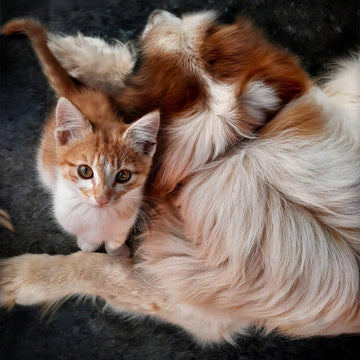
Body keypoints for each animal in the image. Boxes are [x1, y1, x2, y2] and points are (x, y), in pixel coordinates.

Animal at [1, 17, 159, 253]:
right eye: (85, 171)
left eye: (123, 175)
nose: (102, 199)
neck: (99, 216)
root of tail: (76, 93)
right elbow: (87, 243)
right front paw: (88, 245)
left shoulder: (129, 213)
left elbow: (116, 238)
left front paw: (118, 251)